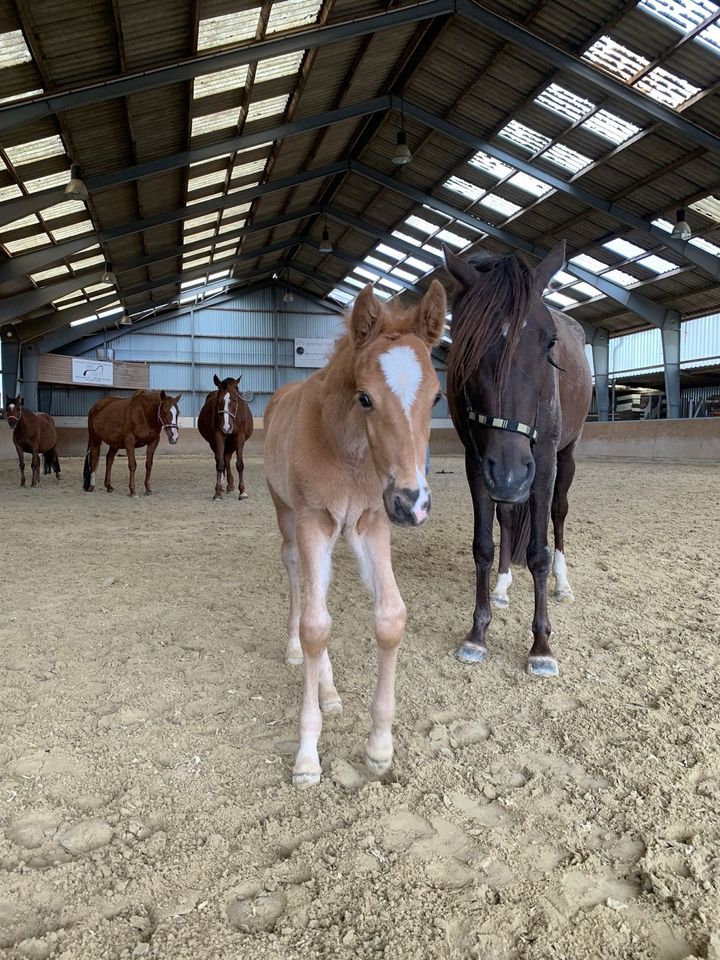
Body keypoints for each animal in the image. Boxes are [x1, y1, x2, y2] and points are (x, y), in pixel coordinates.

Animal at [197, 374, 253, 502]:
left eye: (235, 400)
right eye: (219, 401)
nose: (226, 427)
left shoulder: (240, 438)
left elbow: (239, 464)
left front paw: (242, 492)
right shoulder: (218, 436)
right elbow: (220, 463)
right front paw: (217, 493)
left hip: (231, 443)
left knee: (227, 458)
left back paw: (230, 485)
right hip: (215, 443)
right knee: (222, 459)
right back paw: (224, 484)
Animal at [264, 284, 444, 788]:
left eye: (436, 397)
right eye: (365, 397)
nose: (411, 503)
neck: (348, 451)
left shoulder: (370, 523)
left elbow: (390, 617)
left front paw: (380, 746)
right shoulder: (314, 521)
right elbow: (315, 625)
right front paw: (307, 756)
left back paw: (330, 692)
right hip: (286, 512)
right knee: (298, 579)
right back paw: (296, 655)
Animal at [444, 242, 592, 676]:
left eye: (549, 343)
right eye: (467, 344)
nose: (511, 474)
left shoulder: (541, 464)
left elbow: (539, 552)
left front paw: (541, 646)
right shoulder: (478, 463)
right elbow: (483, 545)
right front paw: (477, 633)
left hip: (564, 458)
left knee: (558, 515)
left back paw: (562, 584)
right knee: (508, 518)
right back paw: (503, 586)